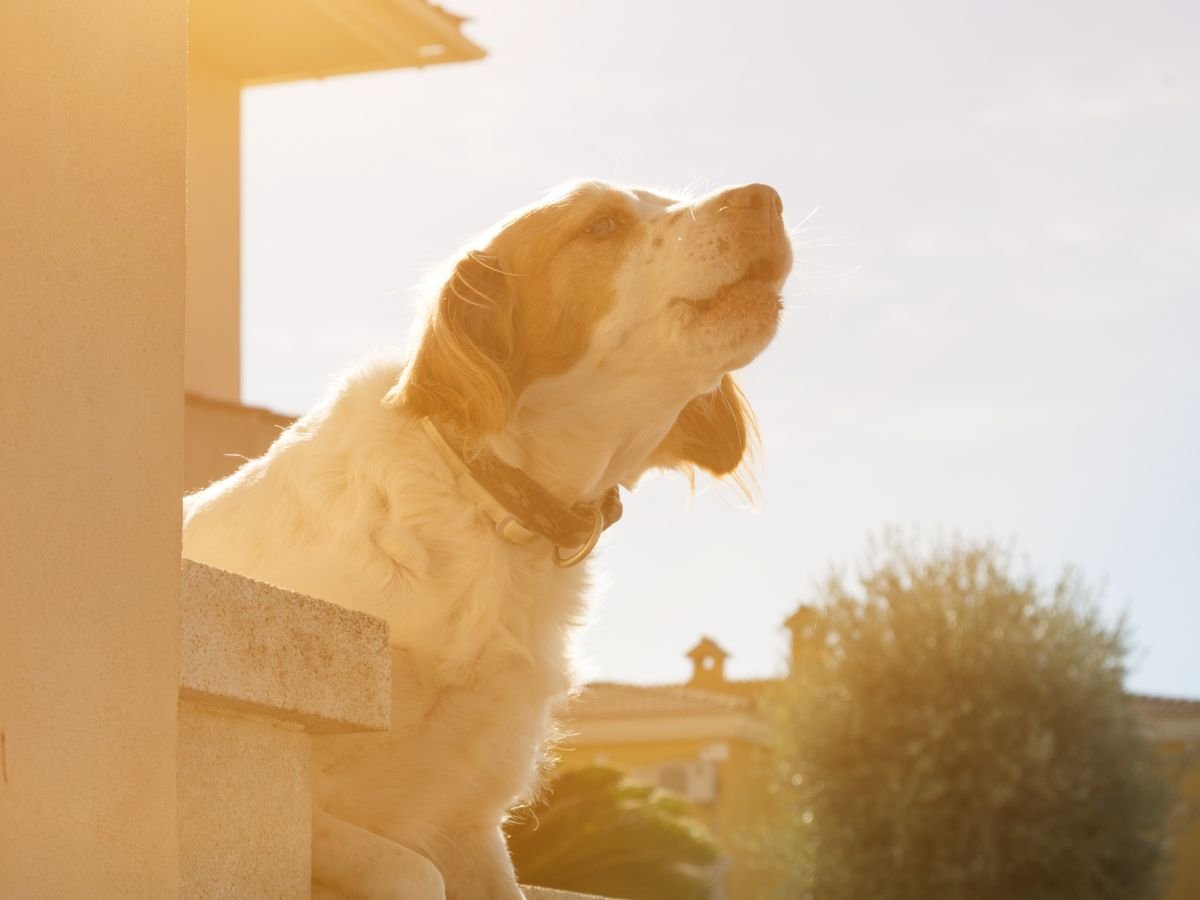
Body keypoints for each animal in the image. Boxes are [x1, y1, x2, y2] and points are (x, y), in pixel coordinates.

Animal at [182, 180, 792, 897]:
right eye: (601, 225)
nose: (764, 197)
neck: (487, 500)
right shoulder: (305, 809)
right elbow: (414, 872)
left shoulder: (471, 823)